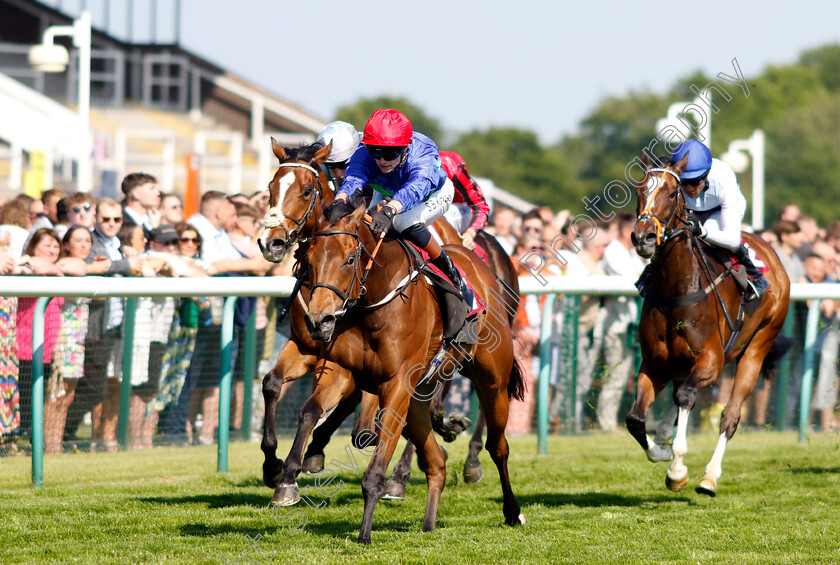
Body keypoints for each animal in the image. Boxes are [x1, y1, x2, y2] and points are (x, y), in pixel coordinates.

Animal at [628, 152, 792, 496]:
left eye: (672, 193)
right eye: (639, 190)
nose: (643, 237)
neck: (676, 290)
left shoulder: (711, 362)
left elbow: (688, 398)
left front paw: (677, 470)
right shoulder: (654, 364)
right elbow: (635, 418)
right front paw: (661, 450)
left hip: (757, 347)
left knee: (729, 416)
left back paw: (709, 477)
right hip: (683, 363)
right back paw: (665, 432)